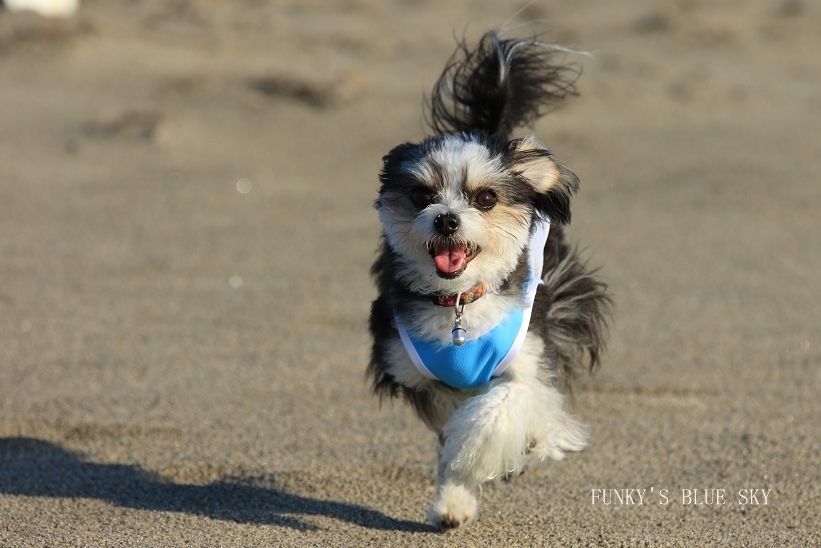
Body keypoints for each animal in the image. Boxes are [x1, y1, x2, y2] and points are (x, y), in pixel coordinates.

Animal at [368, 31, 612, 532]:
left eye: (485, 198)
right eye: (421, 195)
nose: (445, 219)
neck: (460, 301)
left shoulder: (529, 357)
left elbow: (501, 407)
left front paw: (490, 454)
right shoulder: (420, 377)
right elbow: (449, 436)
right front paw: (453, 499)